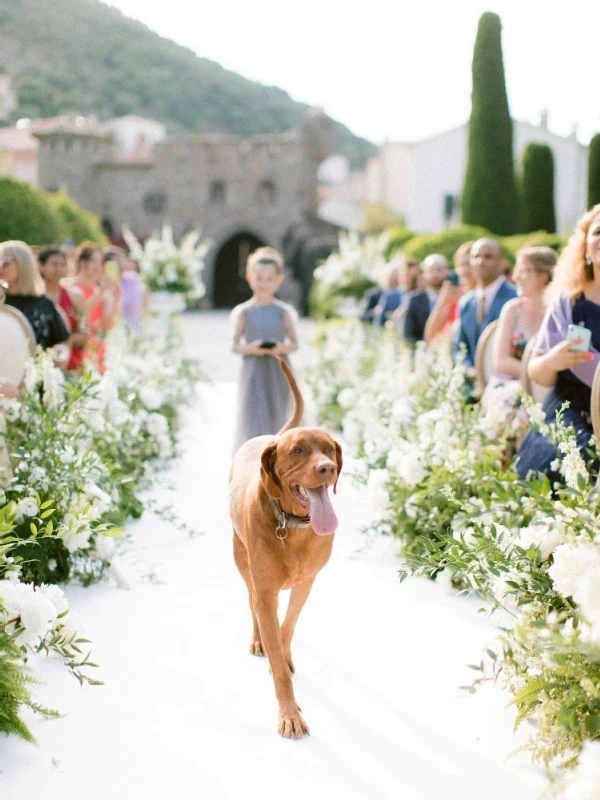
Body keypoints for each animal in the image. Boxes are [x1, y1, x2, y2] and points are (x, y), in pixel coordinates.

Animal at [230, 356, 342, 736]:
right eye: (298, 451)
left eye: (329, 448)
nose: (328, 468)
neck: (292, 525)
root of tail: (269, 437)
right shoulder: (265, 591)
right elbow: (276, 657)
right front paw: (289, 713)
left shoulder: (307, 582)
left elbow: (288, 626)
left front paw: (282, 648)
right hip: (241, 560)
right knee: (249, 600)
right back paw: (257, 639)